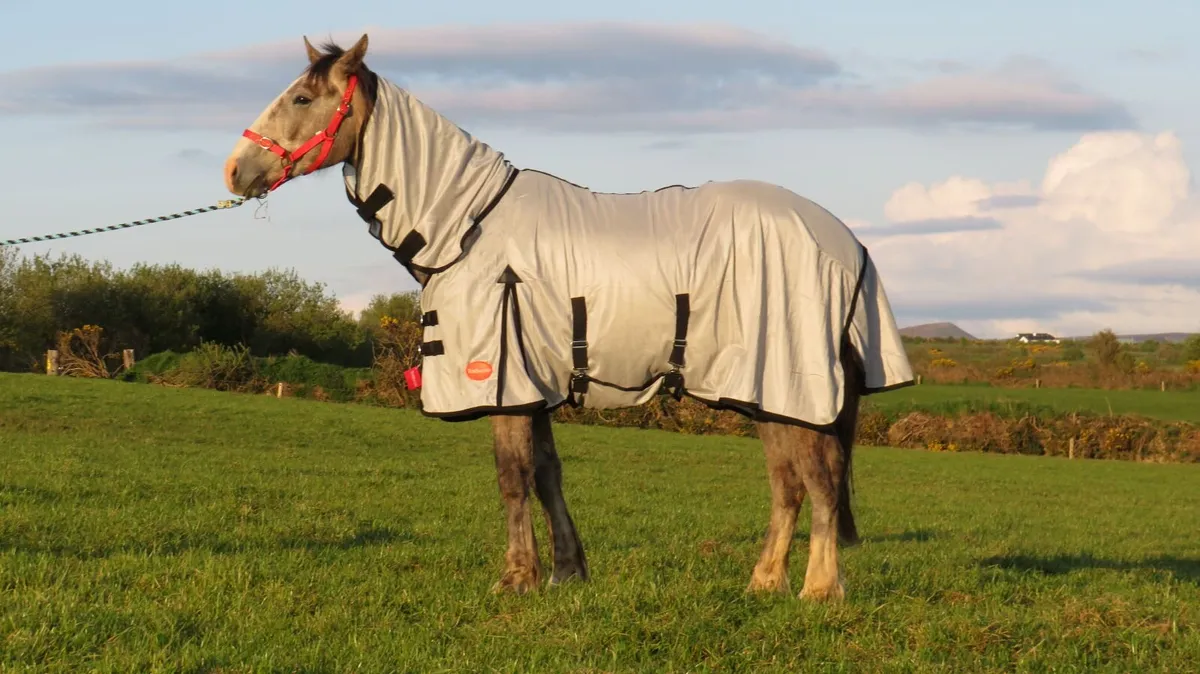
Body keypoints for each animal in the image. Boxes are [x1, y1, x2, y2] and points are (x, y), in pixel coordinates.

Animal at [222, 34, 914, 601]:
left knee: (820, 478)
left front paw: (515, 578)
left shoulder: (501, 380)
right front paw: (564, 571)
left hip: (793, 385)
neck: (468, 224)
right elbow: (547, 474)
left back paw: (819, 589)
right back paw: (764, 582)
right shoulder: (534, 382)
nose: (234, 170)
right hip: (762, 390)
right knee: (788, 482)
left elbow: (512, 476)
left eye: (302, 96)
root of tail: (848, 242)